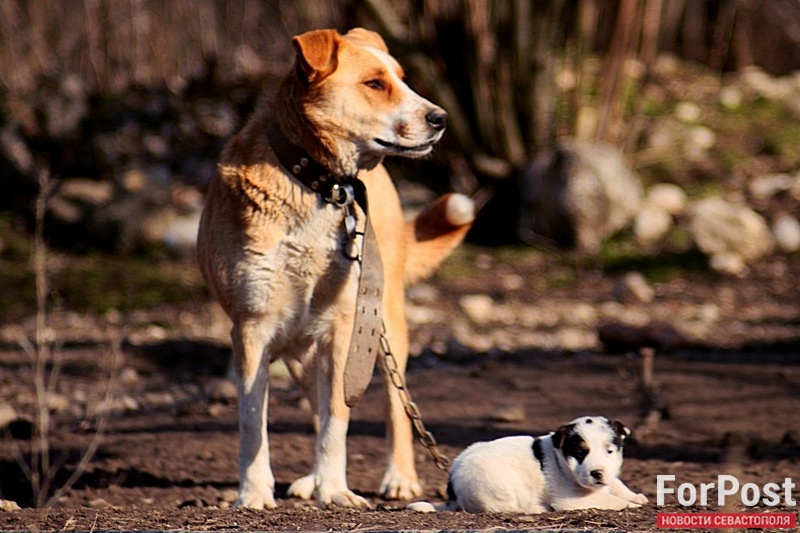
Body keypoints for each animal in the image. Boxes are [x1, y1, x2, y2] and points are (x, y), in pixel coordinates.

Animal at [199, 27, 472, 510]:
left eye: (402, 79)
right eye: (375, 84)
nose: (440, 118)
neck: (317, 185)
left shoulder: (346, 331)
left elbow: (337, 422)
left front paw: (335, 490)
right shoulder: (252, 329)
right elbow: (254, 423)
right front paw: (254, 492)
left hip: (384, 327)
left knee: (396, 410)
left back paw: (399, 478)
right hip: (299, 350)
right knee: (313, 403)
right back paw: (308, 480)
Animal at [410, 416, 648, 512]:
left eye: (609, 450)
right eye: (581, 452)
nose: (597, 473)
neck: (562, 464)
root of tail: (453, 495)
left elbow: (616, 485)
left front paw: (635, 496)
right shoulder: (570, 500)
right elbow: (611, 500)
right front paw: (631, 504)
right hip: (502, 489)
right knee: (508, 508)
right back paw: (537, 509)